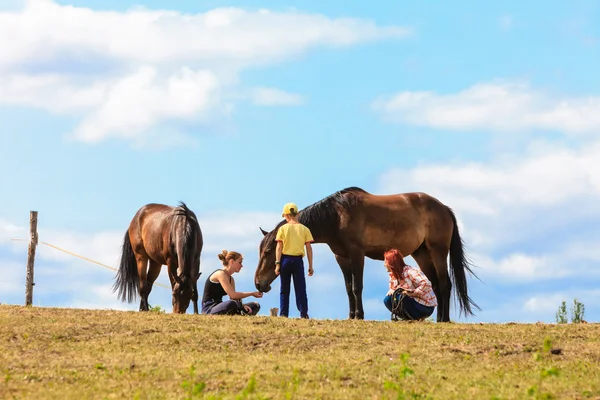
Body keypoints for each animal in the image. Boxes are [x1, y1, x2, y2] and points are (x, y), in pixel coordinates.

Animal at [255, 187, 480, 322]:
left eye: (268, 252)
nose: (258, 284)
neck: (336, 216)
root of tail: (444, 208)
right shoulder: (342, 257)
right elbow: (348, 288)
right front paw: (351, 315)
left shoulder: (357, 254)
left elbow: (357, 287)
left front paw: (360, 315)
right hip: (422, 254)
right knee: (433, 284)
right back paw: (438, 318)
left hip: (438, 251)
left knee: (444, 284)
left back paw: (445, 319)